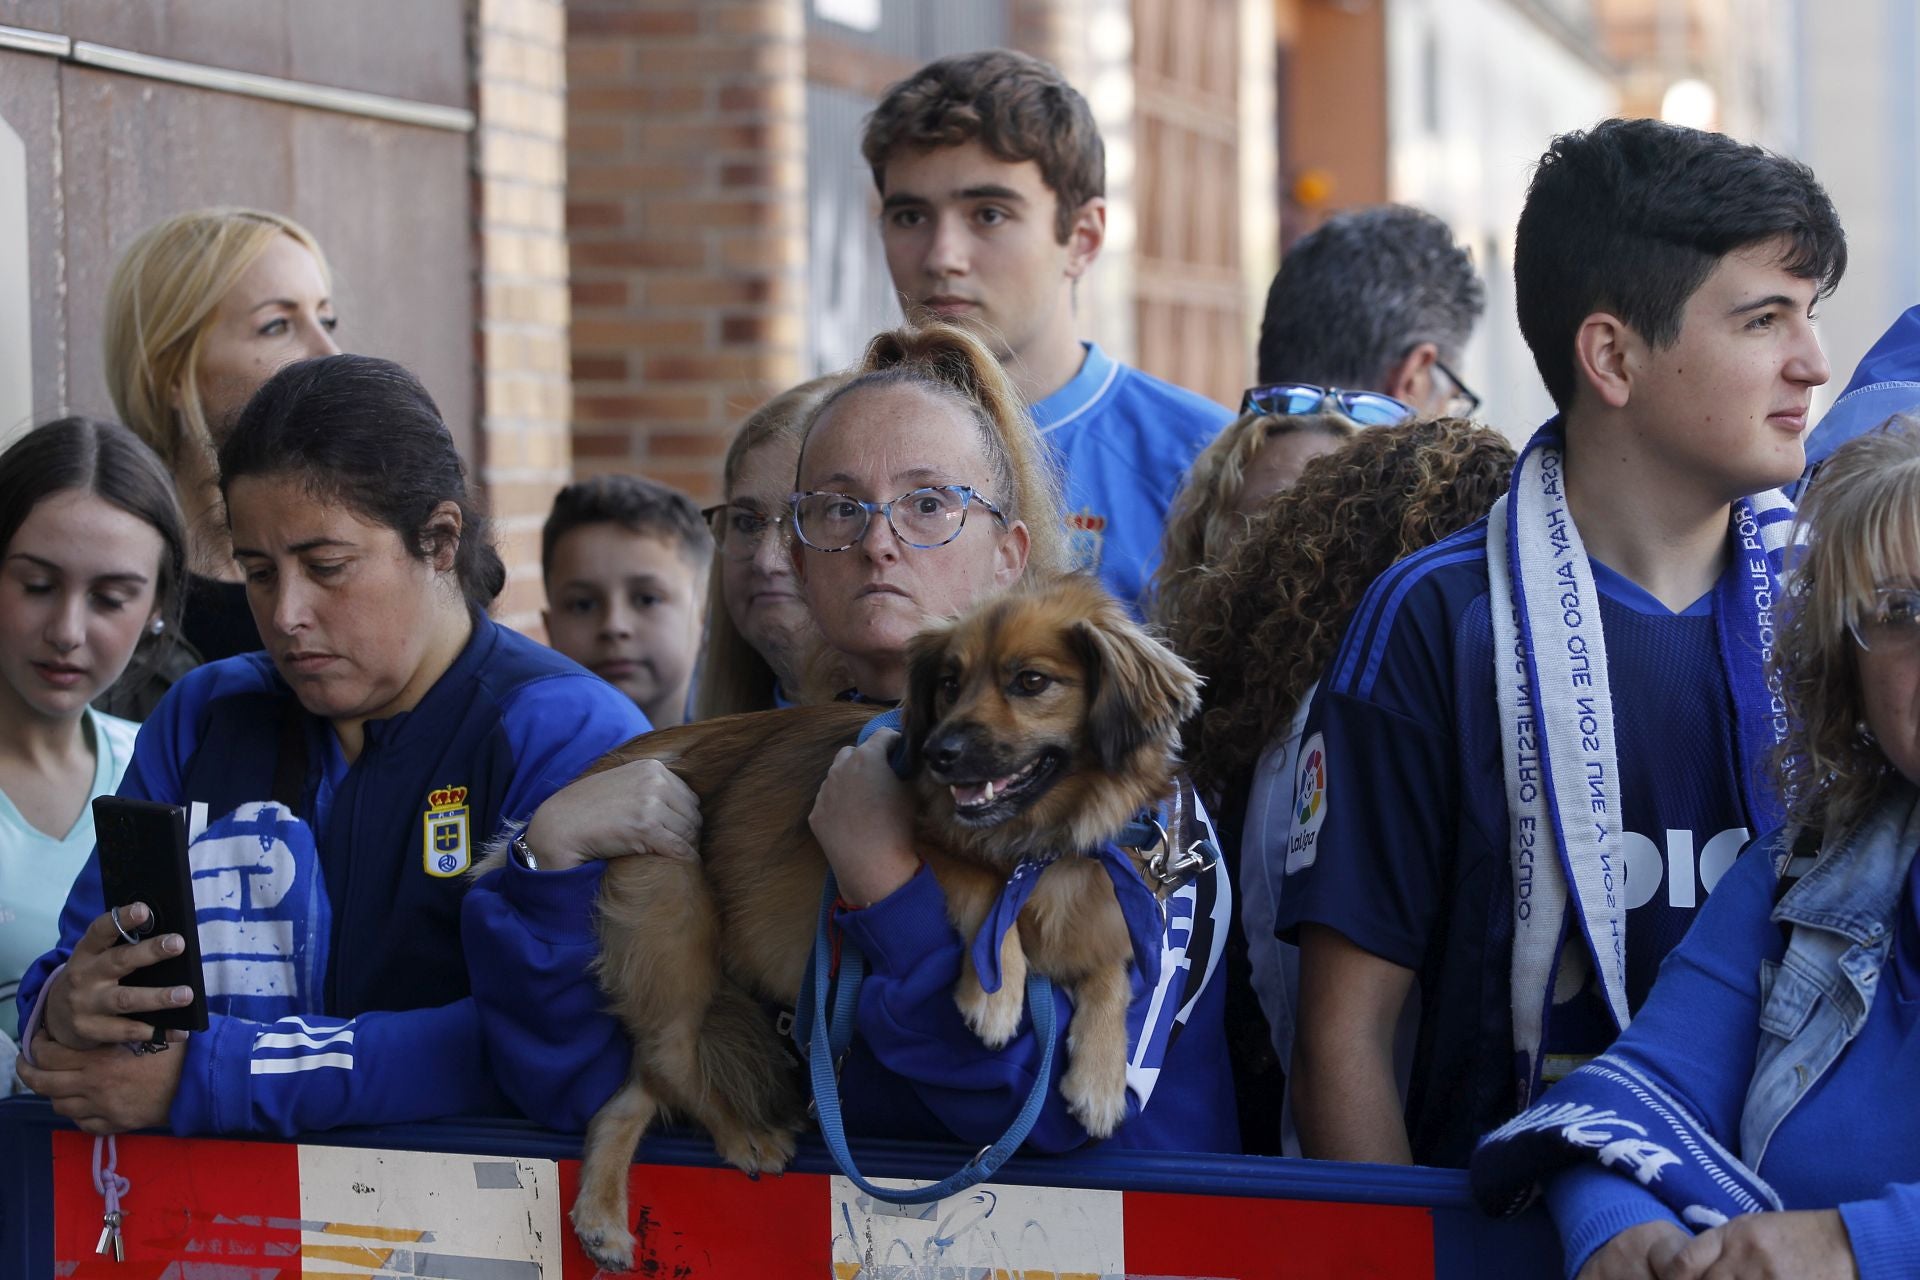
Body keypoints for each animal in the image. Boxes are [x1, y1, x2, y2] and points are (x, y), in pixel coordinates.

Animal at [556, 579, 1198, 1274]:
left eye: (1031, 681)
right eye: (948, 682)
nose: (940, 754)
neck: (1034, 842)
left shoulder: (1099, 904)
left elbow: (1112, 969)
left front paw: (1102, 1079)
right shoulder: (932, 847)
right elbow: (983, 891)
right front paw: (996, 992)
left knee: (630, 1090)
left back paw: (600, 1217)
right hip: (675, 906)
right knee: (670, 1057)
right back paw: (743, 1132)